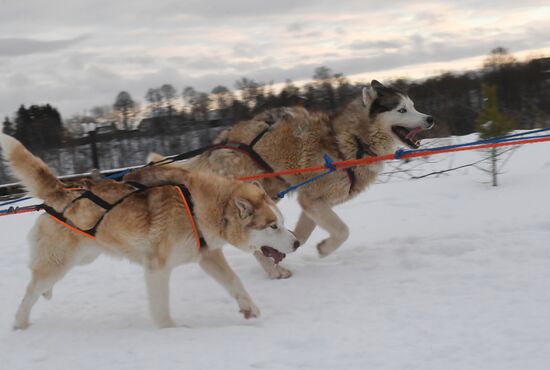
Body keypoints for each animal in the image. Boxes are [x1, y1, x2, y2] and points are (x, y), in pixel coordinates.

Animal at [0, 134, 300, 330]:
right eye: (272, 226)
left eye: (281, 221)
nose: (296, 242)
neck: (196, 205)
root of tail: (62, 191)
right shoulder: (157, 267)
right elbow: (161, 305)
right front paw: (169, 328)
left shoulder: (208, 256)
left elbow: (235, 282)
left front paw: (249, 307)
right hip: (61, 261)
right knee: (30, 291)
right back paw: (20, 323)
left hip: (83, 256)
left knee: (41, 283)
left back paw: (43, 297)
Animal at [149, 80, 434, 278]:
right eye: (402, 109)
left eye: (414, 106)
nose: (430, 118)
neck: (351, 141)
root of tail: (217, 145)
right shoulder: (313, 200)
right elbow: (342, 230)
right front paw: (324, 248)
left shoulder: (313, 203)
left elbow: (301, 235)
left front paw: (289, 245)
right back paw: (274, 271)